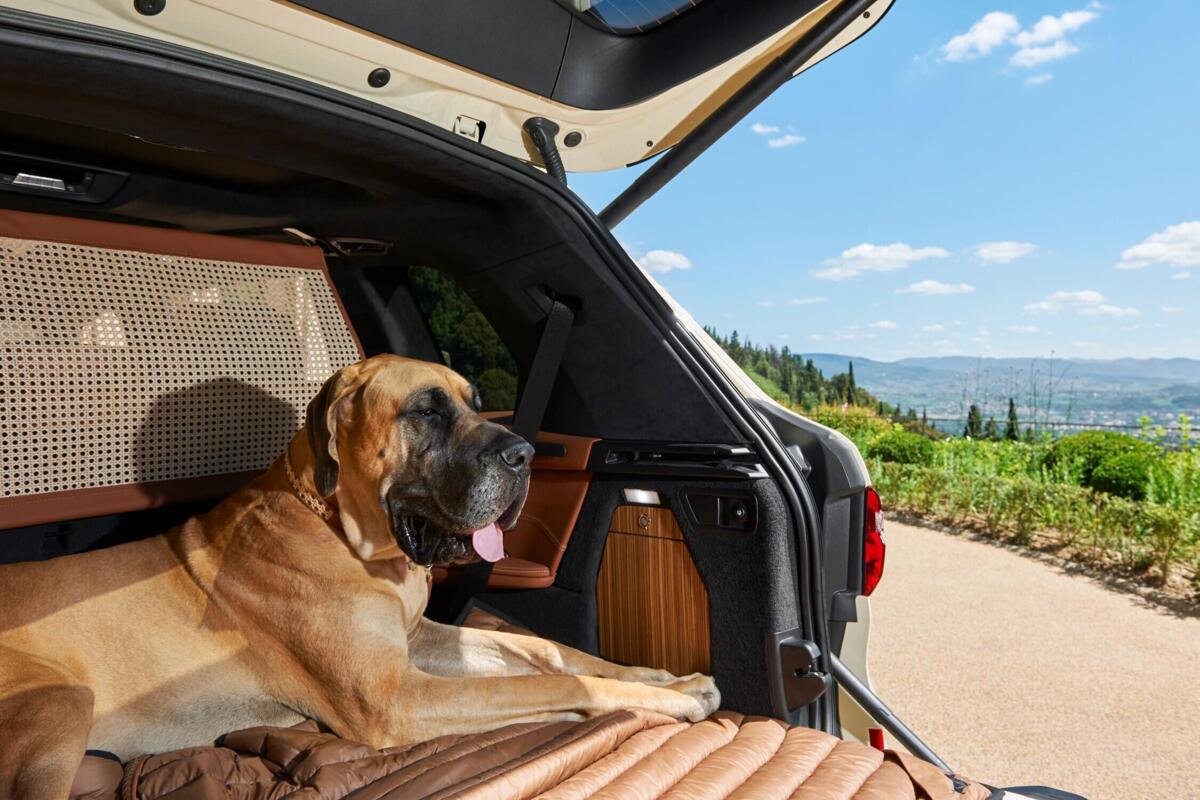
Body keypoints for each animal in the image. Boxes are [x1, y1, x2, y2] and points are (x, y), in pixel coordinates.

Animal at [0, 357, 715, 800]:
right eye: (425, 412)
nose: (525, 455)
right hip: (58, 704)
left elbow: (548, 651)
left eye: (474, 404)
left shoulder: (420, 640)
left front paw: (661, 679)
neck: (344, 533)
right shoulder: (397, 696)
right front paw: (659, 700)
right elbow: (558, 679)